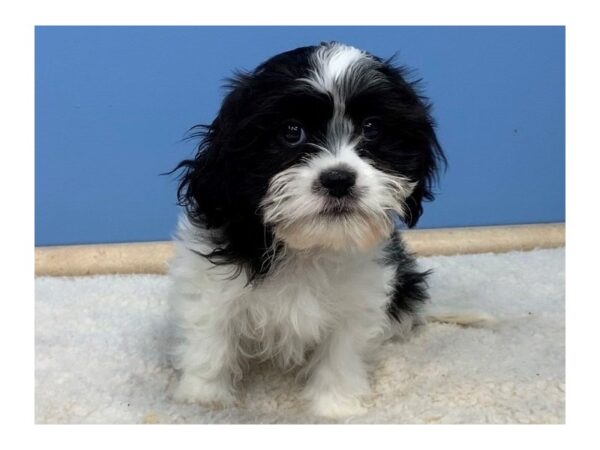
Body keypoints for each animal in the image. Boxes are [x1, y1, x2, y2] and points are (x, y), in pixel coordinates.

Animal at [169, 42, 446, 418]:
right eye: (291, 132)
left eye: (371, 129)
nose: (338, 179)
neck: (307, 246)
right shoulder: (211, 282)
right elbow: (211, 336)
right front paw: (202, 398)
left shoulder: (358, 297)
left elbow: (342, 350)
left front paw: (335, 406)